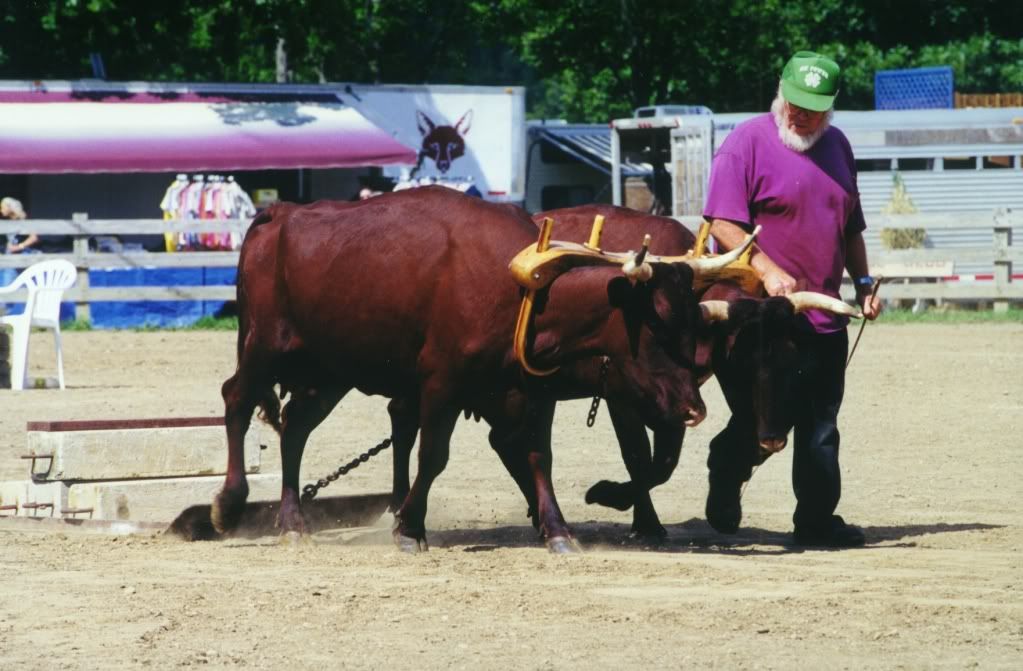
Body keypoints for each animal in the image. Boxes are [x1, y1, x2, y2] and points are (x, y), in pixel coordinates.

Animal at [211, 188, 753, 553]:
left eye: (695, 327)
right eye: (657, 331)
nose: (693, 409)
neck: (522, 289)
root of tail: (281, 212)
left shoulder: (528, 393)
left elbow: (537, 457)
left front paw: (557, 530)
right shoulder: (441, 384)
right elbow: (434, 456)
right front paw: (409, 528)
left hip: (329, 371)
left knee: (295, 428)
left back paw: (291, 520)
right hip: (264, 346)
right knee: (236, 399)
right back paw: (230, 503)